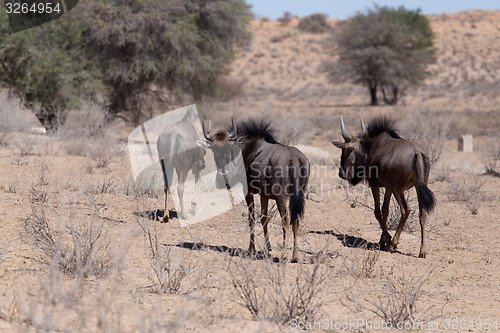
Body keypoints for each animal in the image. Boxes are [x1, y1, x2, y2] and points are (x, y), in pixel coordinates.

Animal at [198, 118, 308, 260]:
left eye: (229, 147)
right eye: (213, 149)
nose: (223, 175)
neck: (247, 150)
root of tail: (294, 158)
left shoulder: (248, 192)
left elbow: (251, 218)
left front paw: (251, 250)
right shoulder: (264, 195)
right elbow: (264, 218)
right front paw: (267, 249)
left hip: (281, 197)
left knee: (285, 220)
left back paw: (283, 254)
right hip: (299, 196)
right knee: (296, 220)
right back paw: (295, 256)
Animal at [332, 116, 438, 256]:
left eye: (345, 150)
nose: (341, 173)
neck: (371, 148)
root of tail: (417, 152)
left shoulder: (375, 184)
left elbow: (377, 211)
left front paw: (387, 239)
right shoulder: (388, 188)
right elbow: (385, 210)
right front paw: (382, 240)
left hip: (398, 189)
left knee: (406, 210)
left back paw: (393, 243)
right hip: (419, 186)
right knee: (422, 212)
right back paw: (423, 250)